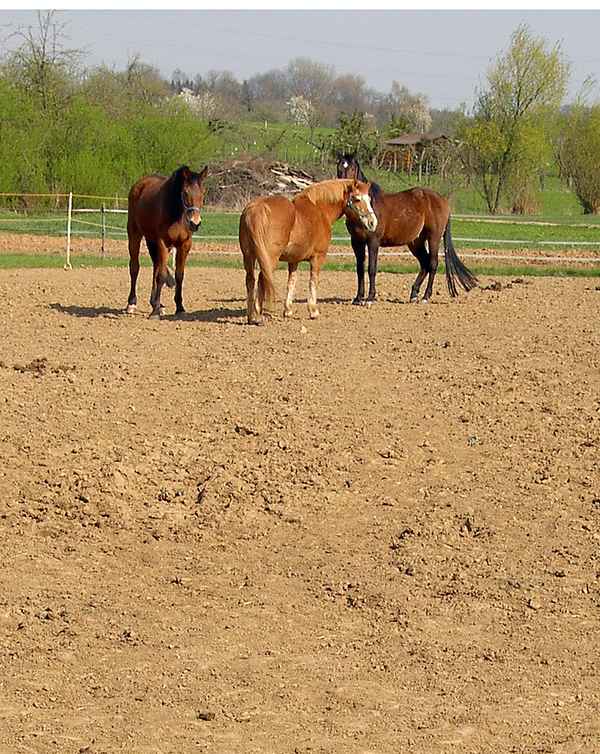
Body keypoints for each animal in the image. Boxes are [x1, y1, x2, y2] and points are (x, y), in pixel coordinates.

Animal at [126, 164, 208, 319]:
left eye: (203, 193)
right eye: (185, 193)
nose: (195, 223)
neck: (177, 215)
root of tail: (139, 184)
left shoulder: (184, 245)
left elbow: (179, 275)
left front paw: (180, 308)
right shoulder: (162, 243)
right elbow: (162, 275)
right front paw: (155, 313)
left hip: (151, 240)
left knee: (156, 266)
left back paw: (156, 304)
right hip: (135, 235)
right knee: (135, 267)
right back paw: (132, 304)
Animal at [239, 178, 377, 325]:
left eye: (369, 199)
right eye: (356, 199)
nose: (372, 223)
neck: (320, 209)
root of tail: (256, 209)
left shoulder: (293, 260)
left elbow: (291, 282)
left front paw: (288, 310)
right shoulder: (318, 257)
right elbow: (313, 281)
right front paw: (313, 311)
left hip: (248, 256)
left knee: (250, 280)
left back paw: (251, 317)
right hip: (269, 259)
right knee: (262, 280)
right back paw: (258, 317)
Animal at [336, 153, 477, 305]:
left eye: (352, 168)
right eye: (339, 167)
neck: (367, 206)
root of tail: (443, 200)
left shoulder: (373, 241)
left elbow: (371, 268)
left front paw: (370, 298)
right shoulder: (356, 242)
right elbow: (360, 269)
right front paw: (358, 298)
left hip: (434, 237)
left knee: (433, 263)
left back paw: (425, 297)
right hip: (416, 242)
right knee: (425, 263)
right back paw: (414, 294)